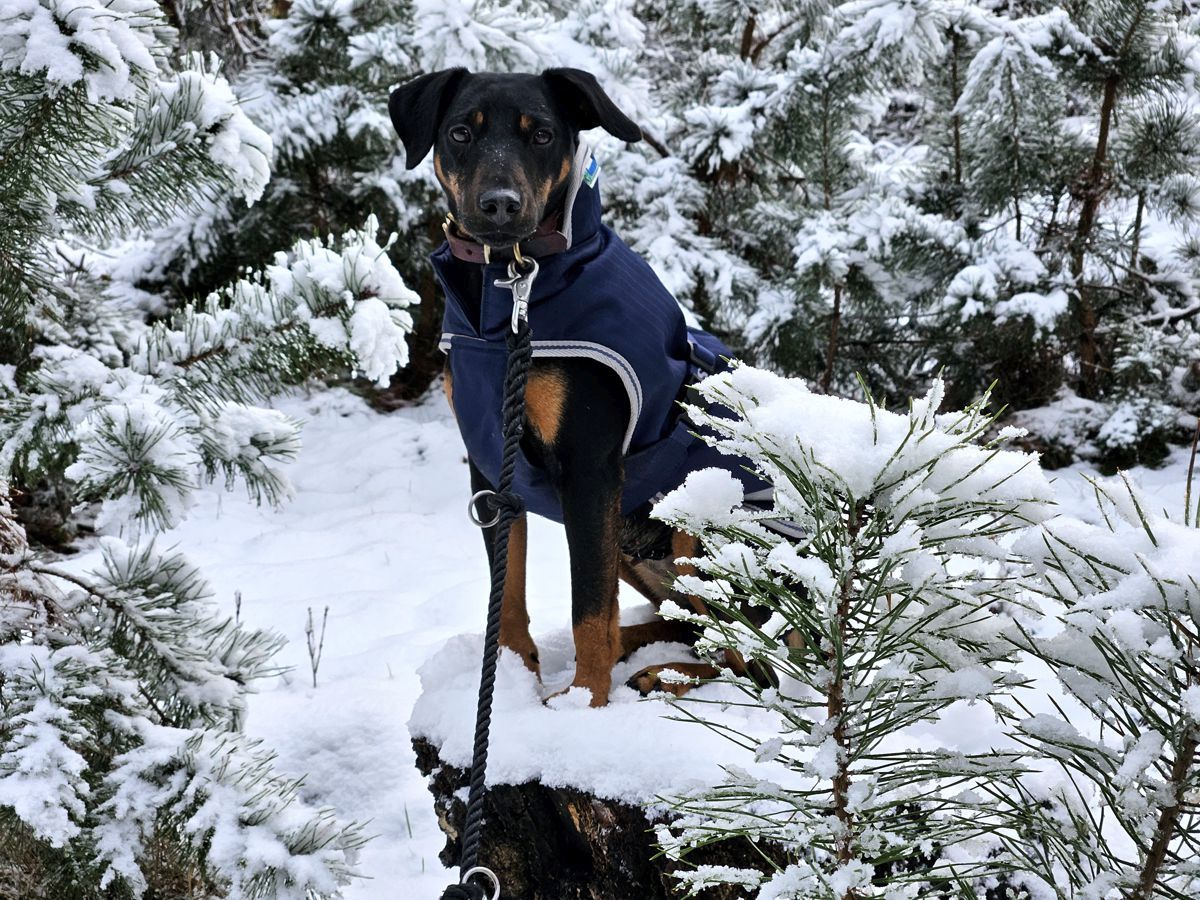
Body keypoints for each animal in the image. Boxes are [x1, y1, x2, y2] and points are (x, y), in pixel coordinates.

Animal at [388, 66, 772, 710]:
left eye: (542, 134)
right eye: (461, 132)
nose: (500, 205)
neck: (508, 293)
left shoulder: (590, 467)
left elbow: (588, 611)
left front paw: (585, 701)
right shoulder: (491, 466)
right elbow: (507, 594)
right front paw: (511, 679)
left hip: (697, 528)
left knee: (750, 661)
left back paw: (658, 675)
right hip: (630, 545)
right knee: (688, 627)